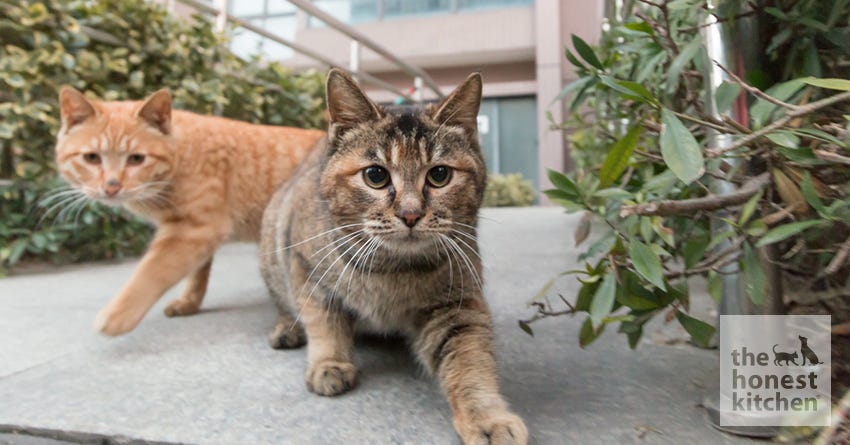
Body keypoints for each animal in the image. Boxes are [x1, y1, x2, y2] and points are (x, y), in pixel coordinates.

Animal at [53, 88, 324, 334]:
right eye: (91, 158)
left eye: (136, 159)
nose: (111, 186)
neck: (181, 155)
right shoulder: (193, 234)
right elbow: (196, 275)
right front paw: (189, 303)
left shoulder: (192, 232)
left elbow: (150, 273)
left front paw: (116, 316)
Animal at [260, 69, 524, 444]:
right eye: (375, 175)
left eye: (439, 175)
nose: (411, 214)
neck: (391, 269)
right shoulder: (305, 268)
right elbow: (325, 323)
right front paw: (329, 363)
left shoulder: (456, 304)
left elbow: (470, 363)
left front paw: (487, 418)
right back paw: (287, 328)